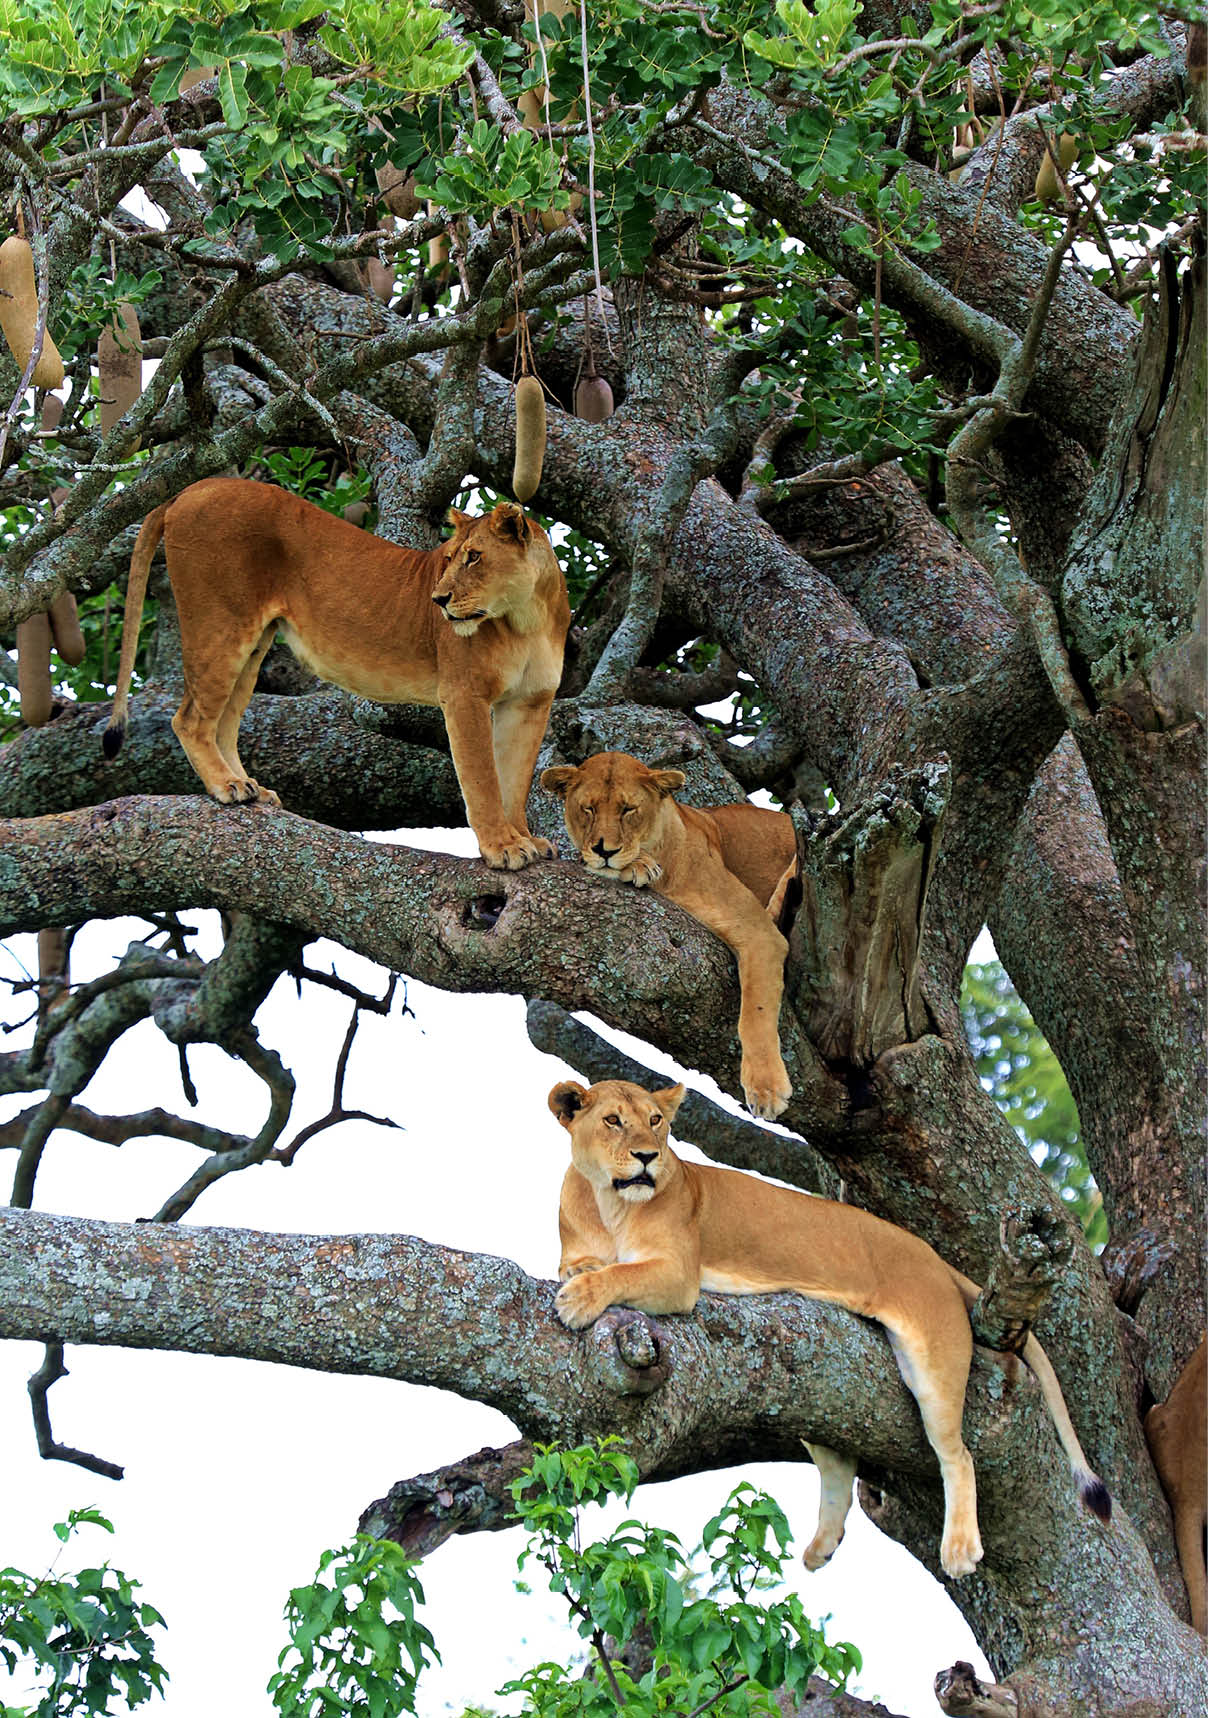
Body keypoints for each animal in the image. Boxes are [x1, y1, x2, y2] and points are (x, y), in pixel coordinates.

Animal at [103, 478, 571, 870]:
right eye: (450, 558)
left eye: (474, 557)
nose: (438, 599)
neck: (525, 617)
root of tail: (191, 488)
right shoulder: (464, 694)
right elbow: (483, 778)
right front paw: (502, 847)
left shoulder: (529, 702)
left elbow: (514, 779)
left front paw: (524, 837)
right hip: (220, 624)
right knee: (190, 719)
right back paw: (226, 787)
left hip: (252, 644)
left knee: (223, 724)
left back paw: (249, 788)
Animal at [540, 752, 797, 1119]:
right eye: (587, 809)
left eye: (628, 809)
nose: (604, 850)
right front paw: (636, 866)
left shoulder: (759, 931)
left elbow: (755, 1014)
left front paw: (767, 1089)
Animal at [548, 1077, 1112, 1580]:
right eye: (613, 1120)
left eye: (656, 1121)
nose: (648, 1156)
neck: (608, 1202)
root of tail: (934, 1257)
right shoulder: (579, 1250)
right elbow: (585, 1265)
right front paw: (581, 1278)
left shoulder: (679, 1276)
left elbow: (622, 1273)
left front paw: (578, 1300)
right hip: (811, 1390)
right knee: (839, 1461)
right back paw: (822, 1545)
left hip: (932, 1360)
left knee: (959, 1454)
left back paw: (959, 1549)